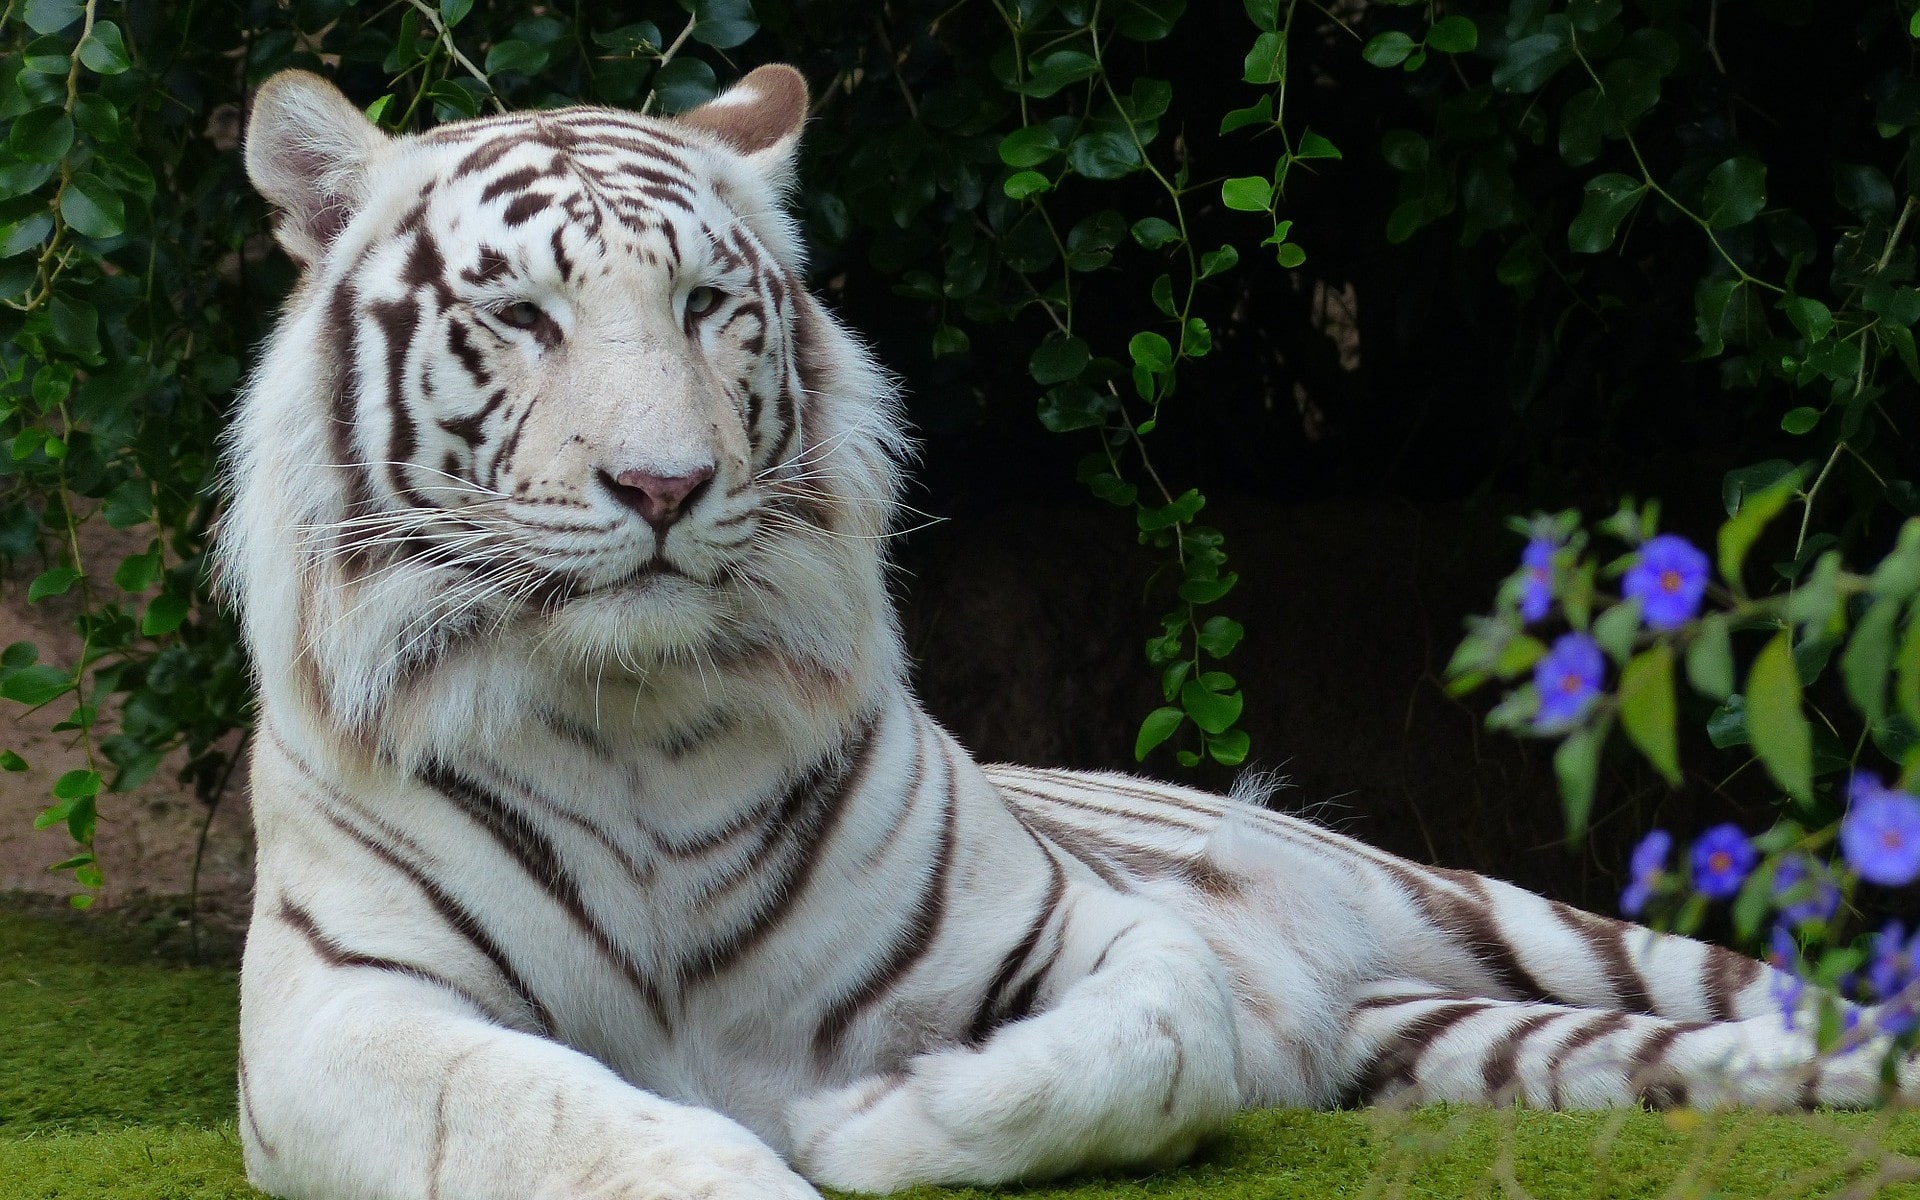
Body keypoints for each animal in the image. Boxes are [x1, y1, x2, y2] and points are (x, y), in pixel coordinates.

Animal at [224, 63, 1904, 1198]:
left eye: (706, 304)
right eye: (521, 316)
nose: (662, 483)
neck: (636, 713)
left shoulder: (1080, 926)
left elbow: (1159, 1038)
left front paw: (867, 1123)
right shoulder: (336, 1016)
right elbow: (552, 1116)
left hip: (1505, 913)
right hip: (1456, 1037)